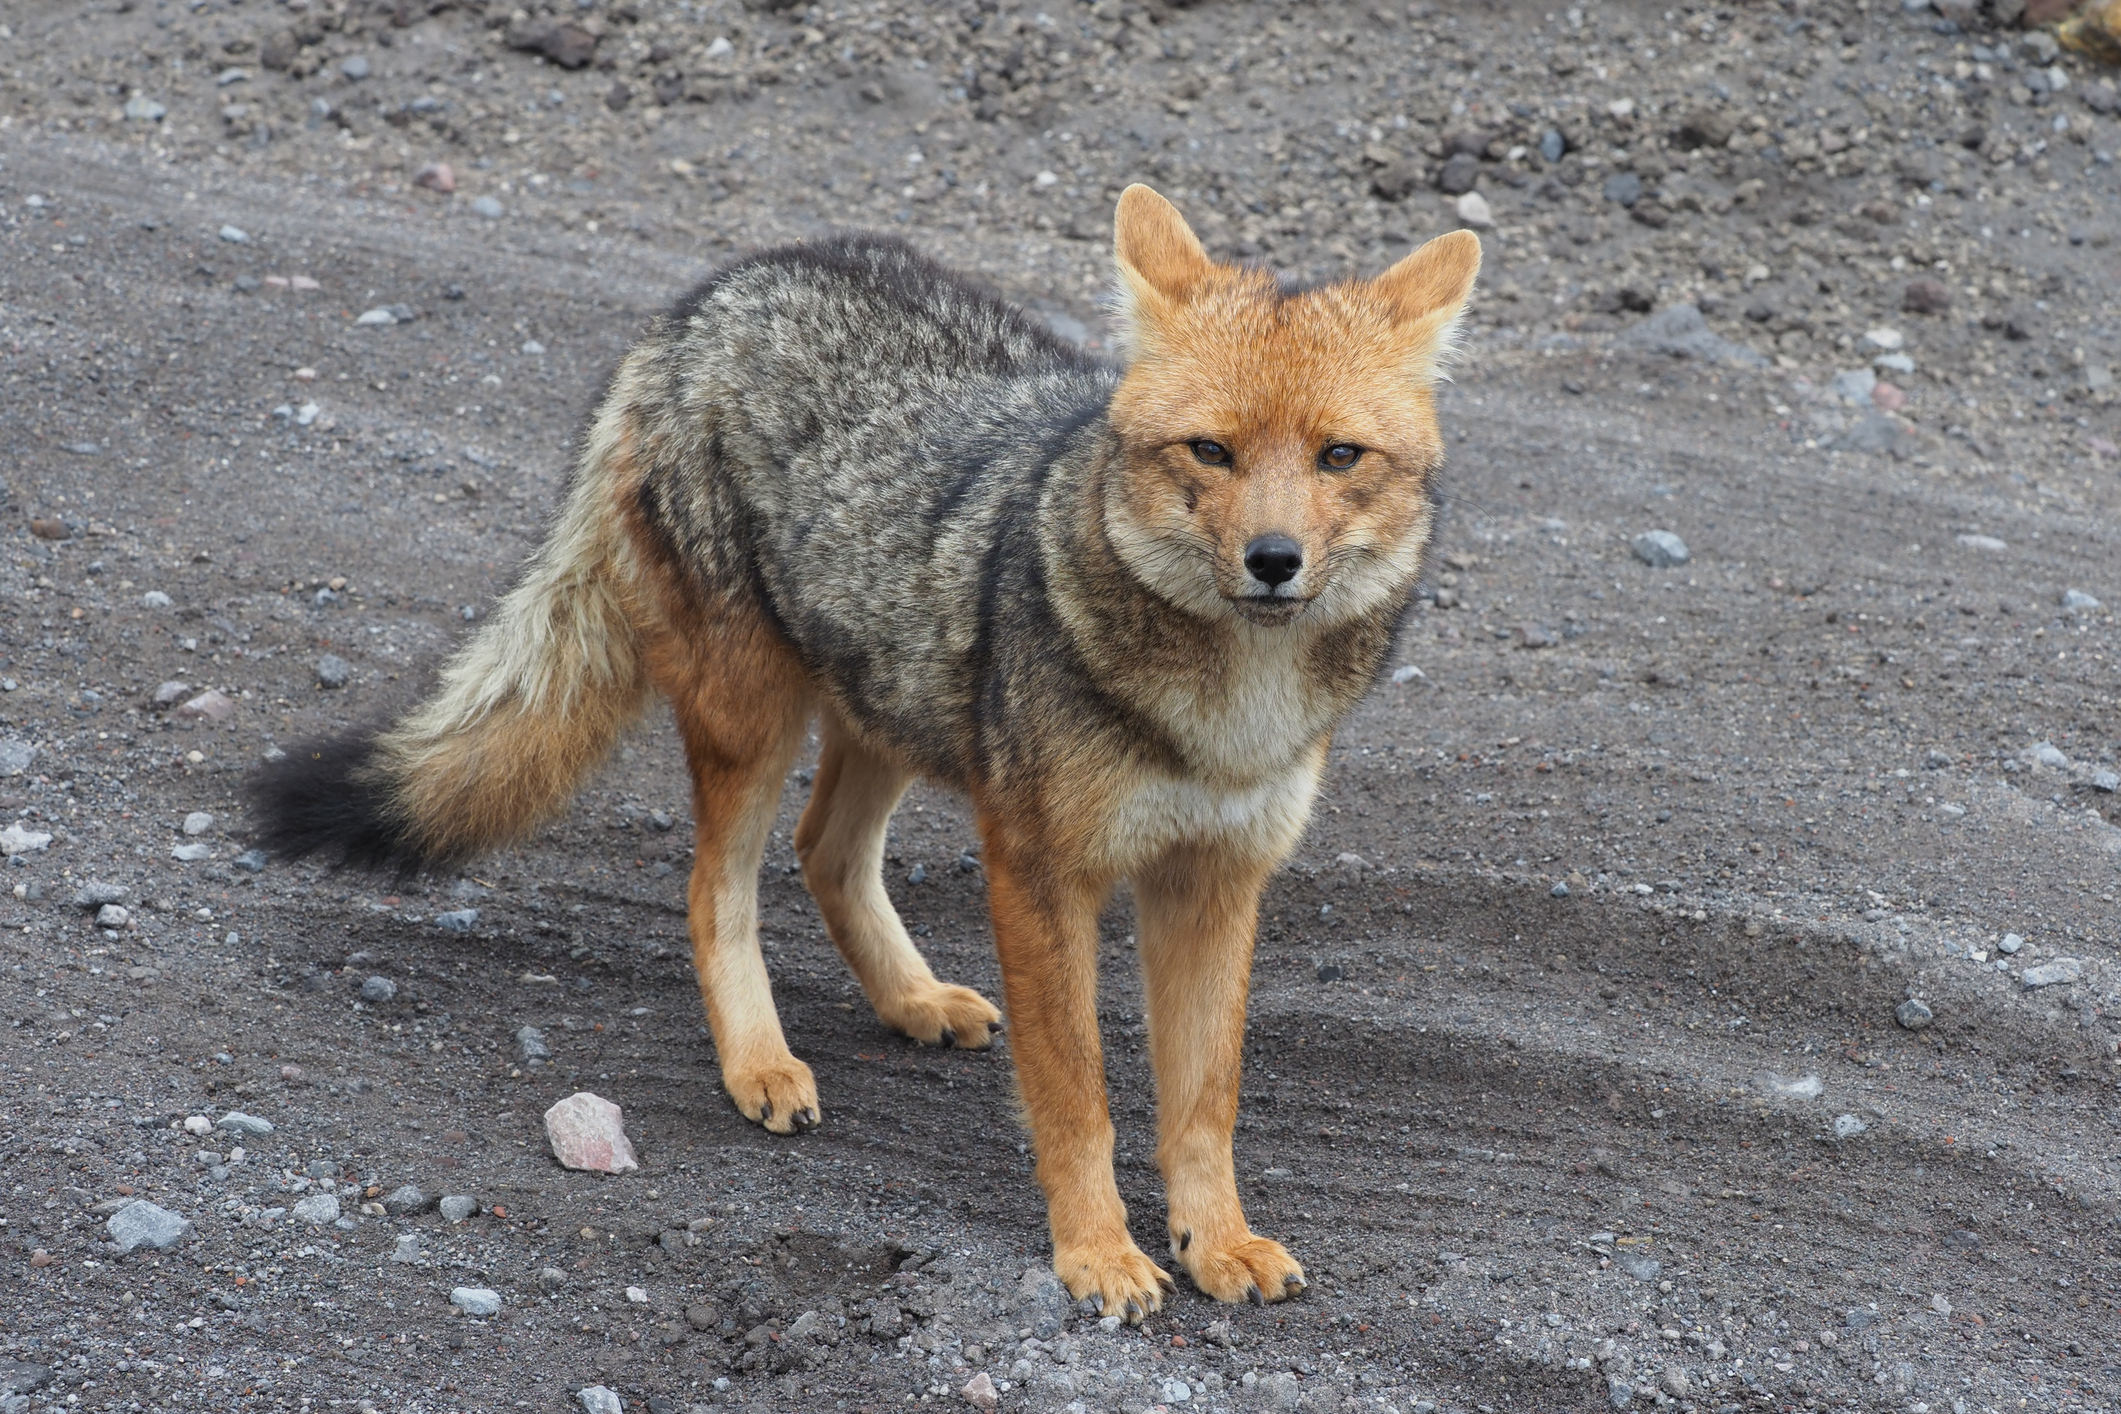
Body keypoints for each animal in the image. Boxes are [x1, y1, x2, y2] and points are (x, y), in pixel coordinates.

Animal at [252, 185, 1476, 1314]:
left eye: (1338, 456)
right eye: (1211, 452)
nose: (1273, 559)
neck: (1224, 717)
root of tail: (712, 297)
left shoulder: (1218, 881)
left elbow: (1203, 1099)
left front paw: (1214, 1239)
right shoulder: (1040, 873)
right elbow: (1076, 1093)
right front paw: (1095, 1252)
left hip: (889, 704)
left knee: (824, 851)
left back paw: (912, 999)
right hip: (755, 718)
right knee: (718, 887)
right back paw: (758, 1060)